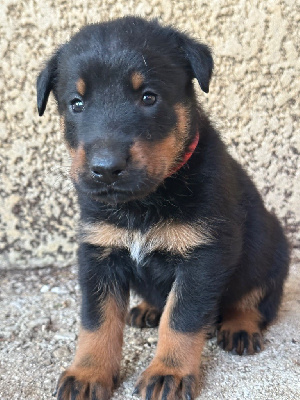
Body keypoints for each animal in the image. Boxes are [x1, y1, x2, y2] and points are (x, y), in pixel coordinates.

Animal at [36, 15, 290, 400]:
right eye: (76, 103)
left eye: (148, 97)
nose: (105, 168)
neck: (142, 204)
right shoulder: (98, 251)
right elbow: (96, 320)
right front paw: (89, 372)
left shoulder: (205, 256)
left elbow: (181, 318)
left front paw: (168, 372)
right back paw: (147, 308)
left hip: (273, 247)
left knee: (254, 297)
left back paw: (240, 327)